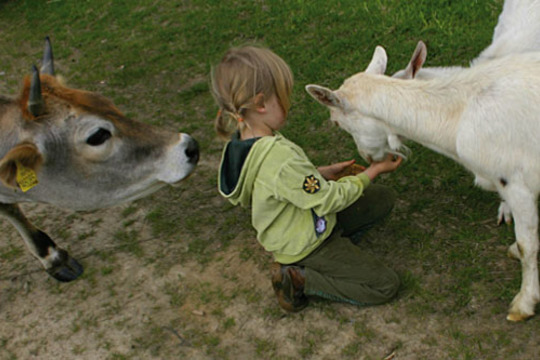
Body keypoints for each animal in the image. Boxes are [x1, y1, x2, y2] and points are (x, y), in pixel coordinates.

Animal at [306, 47, 540, 320]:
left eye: (337, 122)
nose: (368, 157)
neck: (459, 112)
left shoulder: (517, 183)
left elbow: (527, 246)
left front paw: (523, 305)